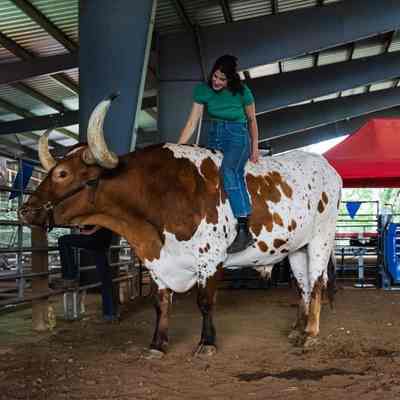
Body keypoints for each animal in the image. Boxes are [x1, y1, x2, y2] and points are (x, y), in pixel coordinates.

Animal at [19, 97, 342, 357]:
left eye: (62, 173)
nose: (26, 210)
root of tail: (326, 166)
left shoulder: (211, 258)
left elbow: (205, 301)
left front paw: (207, 343)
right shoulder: (157, 262)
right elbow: (161, 303)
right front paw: (157, 344)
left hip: (321, 239)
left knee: (317, 282)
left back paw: (310, 334)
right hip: (297, 247)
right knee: (303, 285)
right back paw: (298, 328)